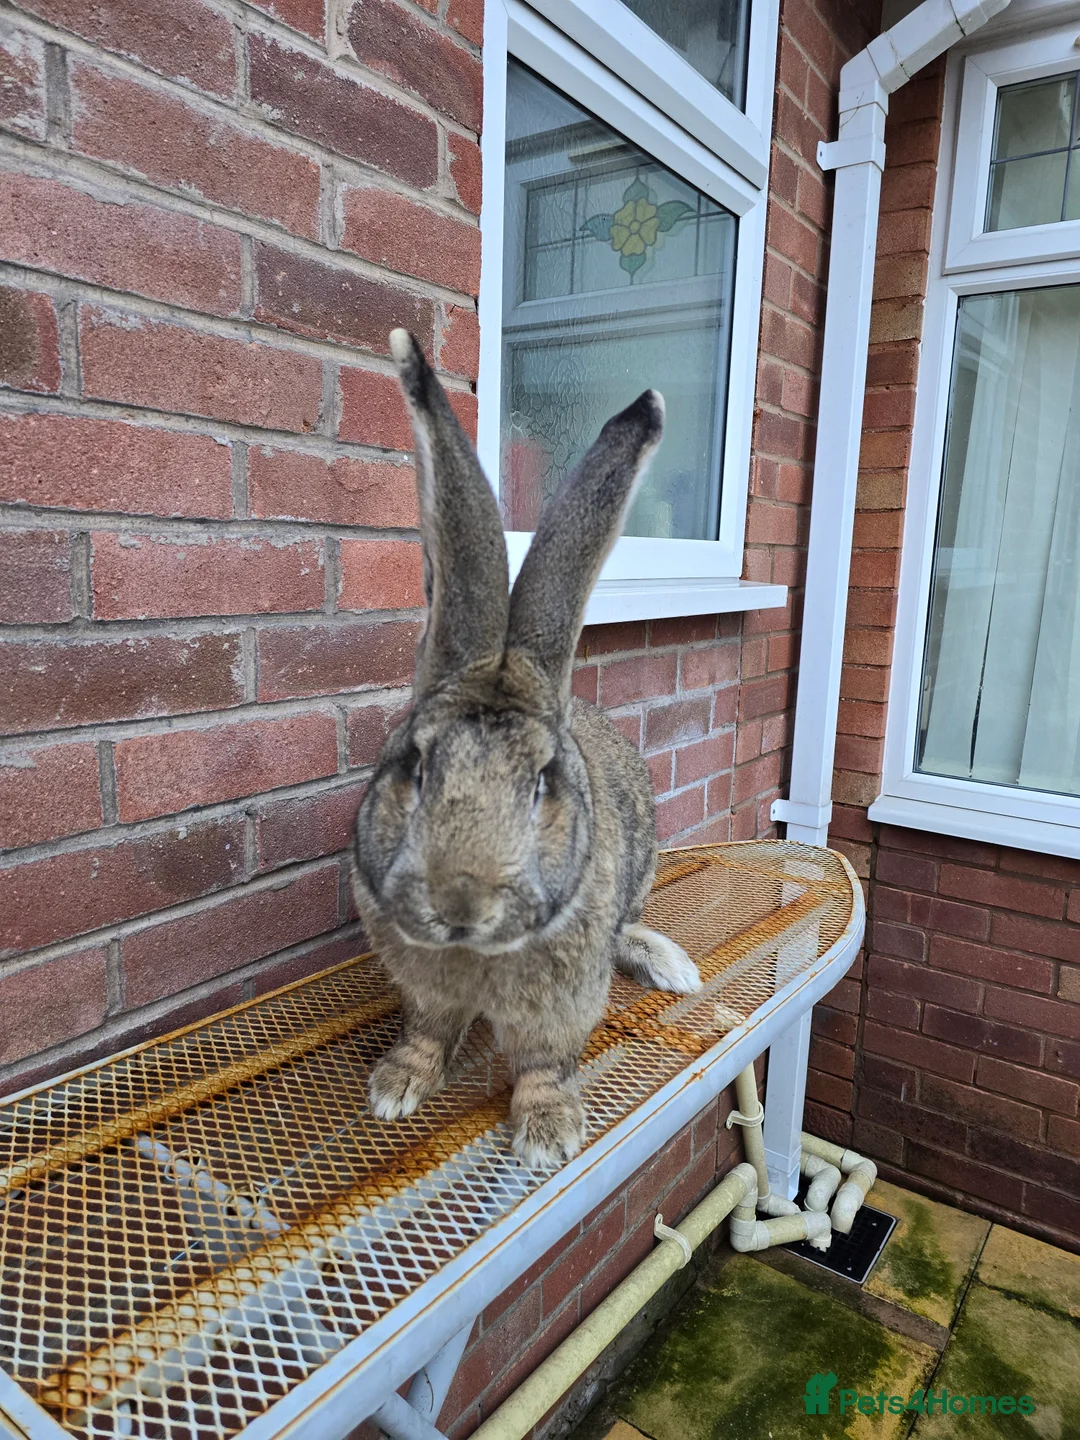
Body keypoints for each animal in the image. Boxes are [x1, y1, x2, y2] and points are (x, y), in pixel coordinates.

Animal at [351, 330, 701, 1170]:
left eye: (543, 782)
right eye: (415, 765)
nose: (460, 904)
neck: (476, 956)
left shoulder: (562, 1008)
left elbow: (545, 1061)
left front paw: (547, 1134)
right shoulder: (426, 993)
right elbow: (427, 1032)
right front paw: (396, 1088)